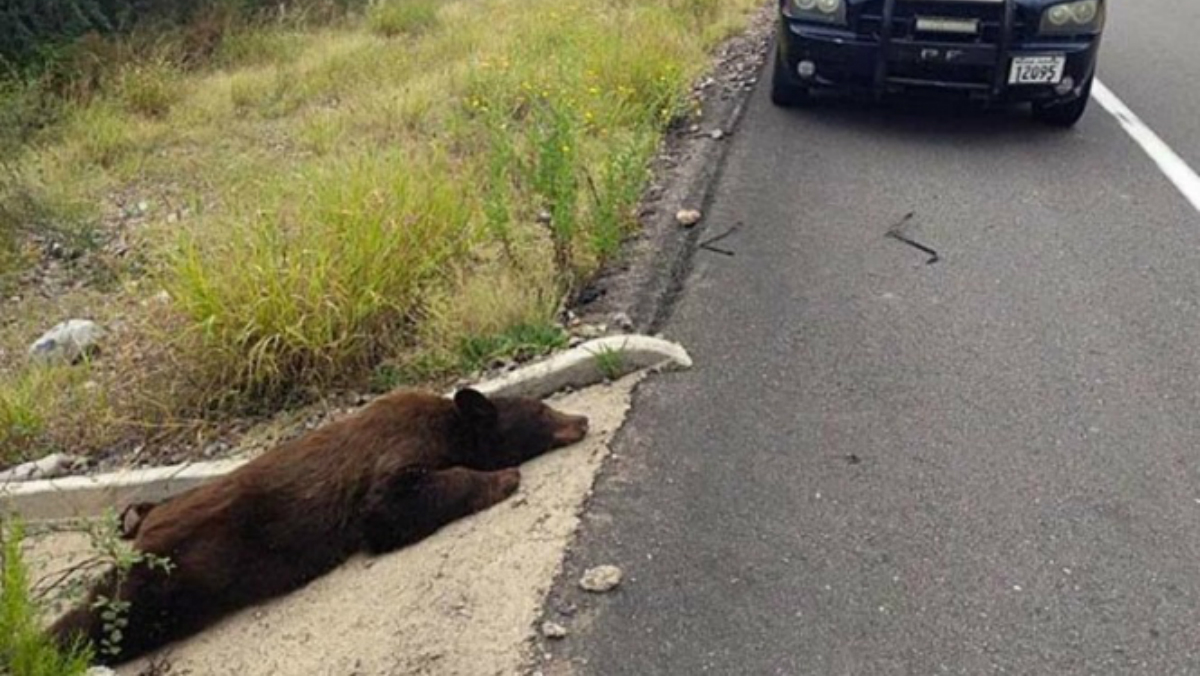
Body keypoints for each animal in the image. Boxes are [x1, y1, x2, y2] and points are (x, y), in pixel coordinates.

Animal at [48, 387, 589, 665]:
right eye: (543, 409)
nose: (582, 419)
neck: (453, 427)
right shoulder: (396, 454)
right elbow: (387, 508)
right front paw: (502, 477)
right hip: (173, 578)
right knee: (107, 616)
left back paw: (133, 510)